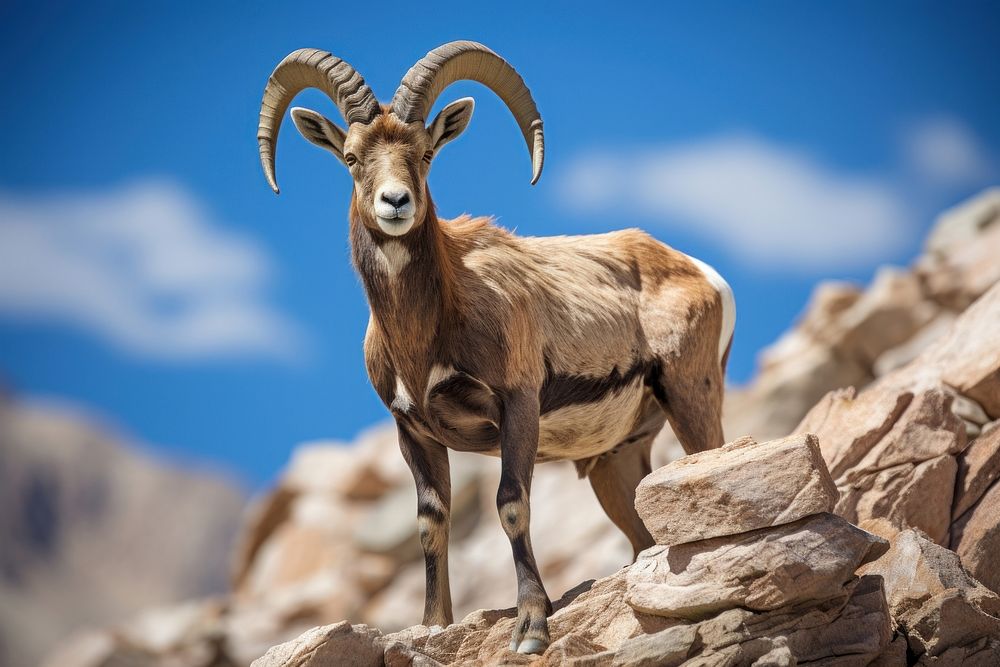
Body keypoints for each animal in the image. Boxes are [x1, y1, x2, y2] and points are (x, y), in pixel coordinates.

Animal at [258, 40, 736, 652]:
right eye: (350, 157)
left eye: (425, 153)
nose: (396, 202)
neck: (427, 333)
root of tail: (700, 272)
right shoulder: (413, 432)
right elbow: (430, 521)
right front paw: (432, 625)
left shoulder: (517, 407)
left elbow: (512, 504)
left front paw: (530, 627)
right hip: (616, 460)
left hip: (690, 397)